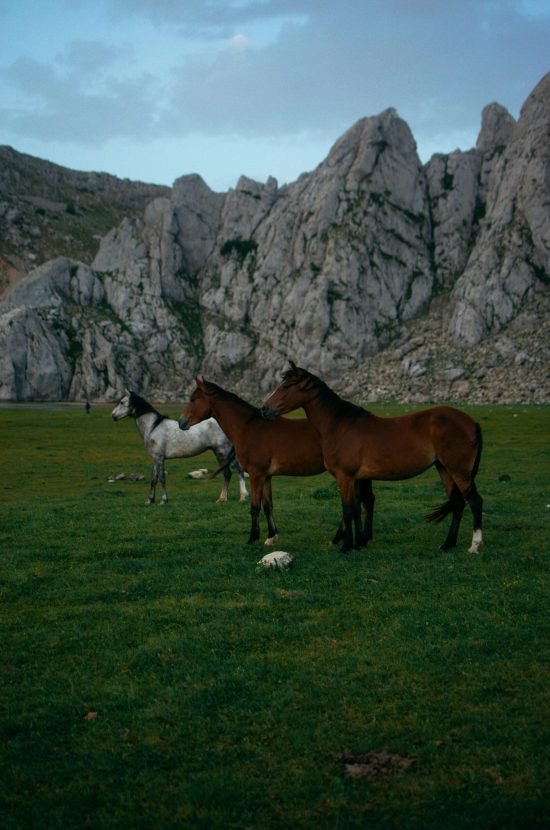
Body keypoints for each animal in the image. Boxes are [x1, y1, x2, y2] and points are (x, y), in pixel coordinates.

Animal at [111, 391, 248, 505]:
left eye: (122, 402)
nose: (113, 416)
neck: (153, 427)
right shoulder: (155, 458)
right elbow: (153, 478)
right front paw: (150, 500)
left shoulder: (159, 458)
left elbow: (161, 478)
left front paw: (163, 500)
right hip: (219, 453)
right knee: (227, 473)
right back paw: (222, 499)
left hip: (224, 452)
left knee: (237, 471)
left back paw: (242, 497)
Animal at [178, 377, 331, 545]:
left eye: (193, 399)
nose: (181, 422)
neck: (249, 428)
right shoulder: (266, 476)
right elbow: (268, 505)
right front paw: (272, 536)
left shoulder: (256, 474)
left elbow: (255, 507)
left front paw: (253, 538)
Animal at [262, 362, 483, 555]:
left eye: (286, 386)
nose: (265, 409)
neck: (339, 426)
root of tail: (471, 422)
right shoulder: (356, 479)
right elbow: (357, 509)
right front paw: (357, 542)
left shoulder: (345, 477)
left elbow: (348, 510)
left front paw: (346, 547)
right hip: (444, 469)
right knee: (458, 503)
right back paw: (447, 545)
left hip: (459, 472)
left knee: (474, 502)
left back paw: (474, 546)